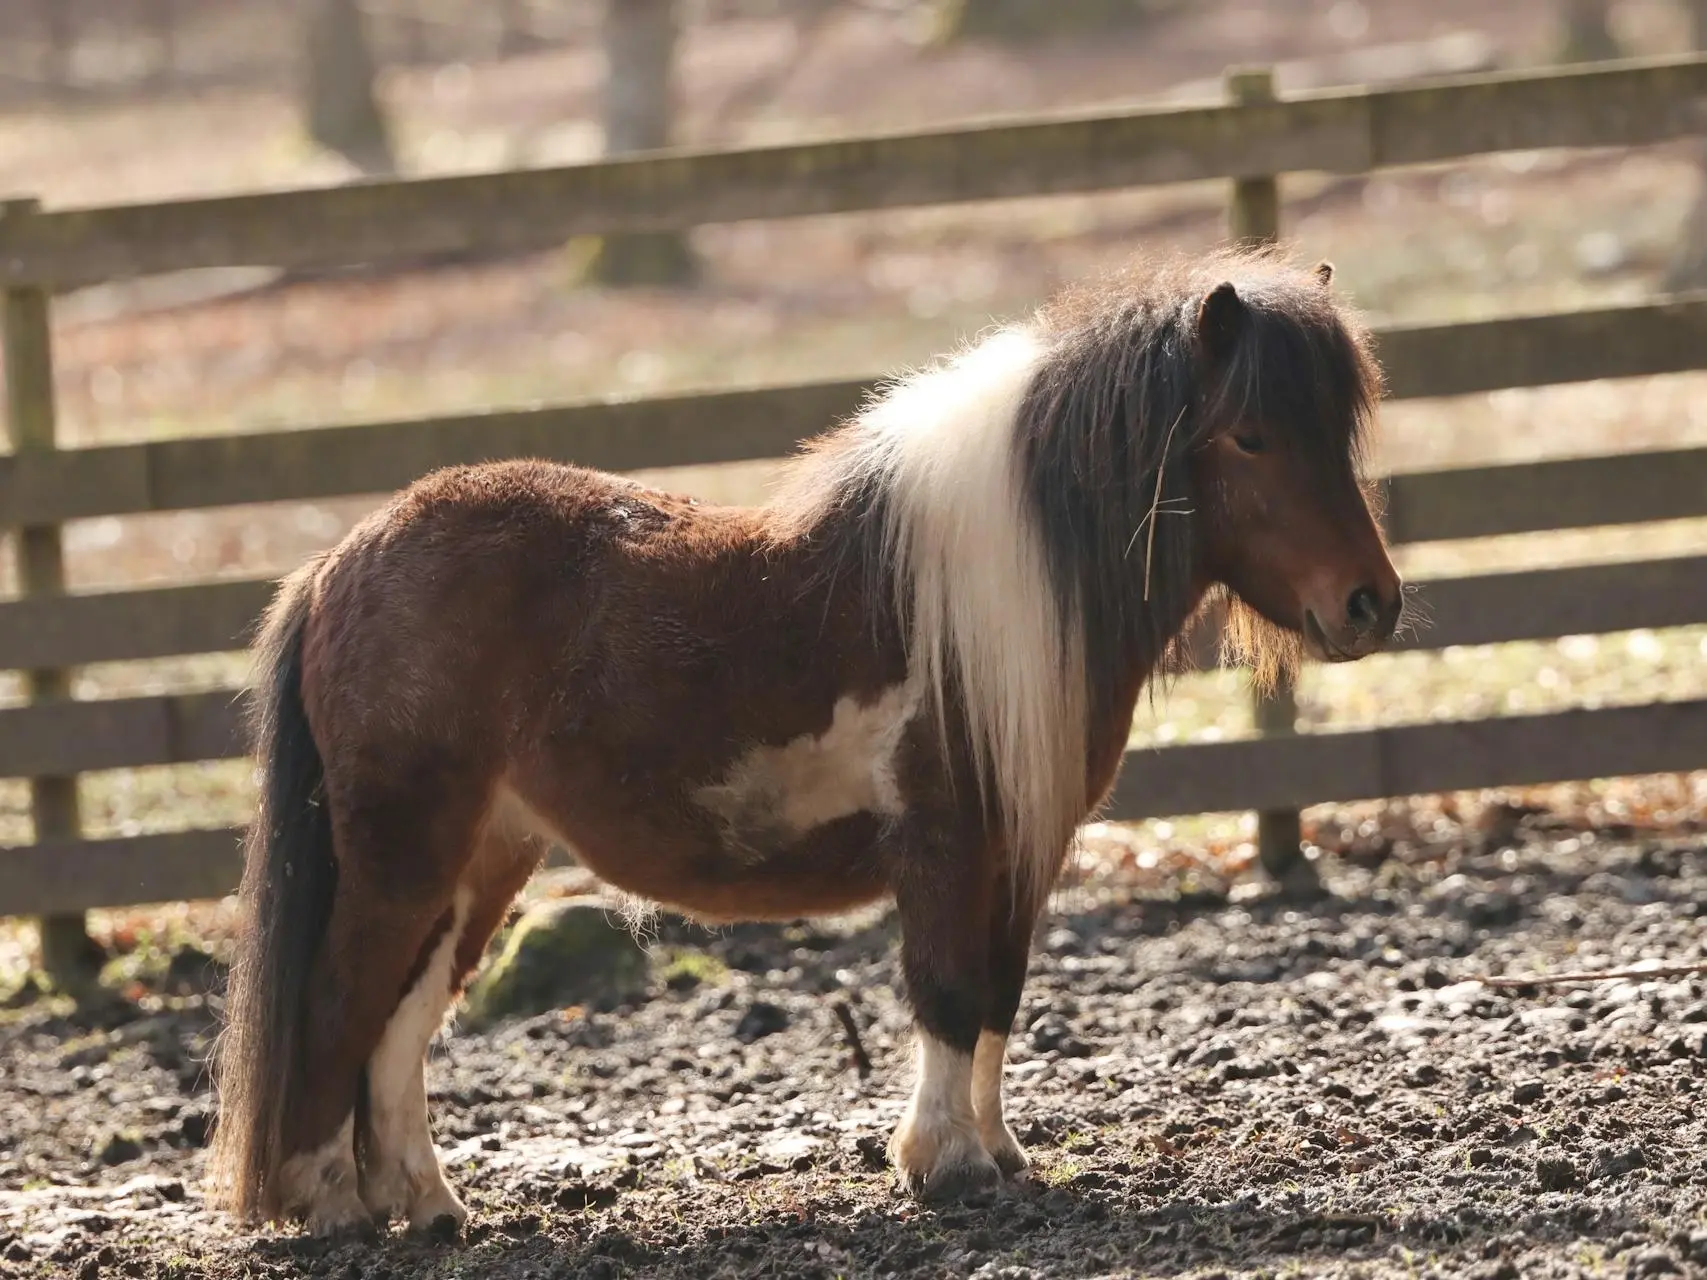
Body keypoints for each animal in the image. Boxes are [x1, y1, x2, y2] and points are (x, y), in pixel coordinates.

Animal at [206, 245, 1399, 1235]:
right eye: (1248, 435)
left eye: (1338, 433)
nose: (1369, 605)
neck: (987, 590)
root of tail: (338, 561)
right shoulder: (945, 844)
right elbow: (946, 994)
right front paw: (945, 1165)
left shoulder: (1019, 851)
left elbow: (998, 995)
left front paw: (1001, 1153)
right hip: (402, 857)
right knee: (340, 1005)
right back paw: (331, 1204)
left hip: (478, 861)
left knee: (398, 1022)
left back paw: (429, 1207)